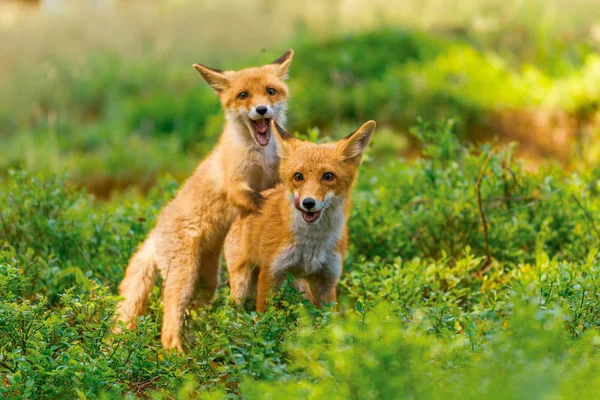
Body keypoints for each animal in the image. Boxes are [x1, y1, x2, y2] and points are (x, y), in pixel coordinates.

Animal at [114, 50, 292, 350]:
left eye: (270, 91)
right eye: (243, 95)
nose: (261, 110)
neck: (261, 157)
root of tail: (155, 231)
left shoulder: (274, 178)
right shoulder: (236, 185)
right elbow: (253, 198)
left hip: (207, 280)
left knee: (195, 310)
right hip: (183, 276)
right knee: (169, 323)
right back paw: (177, 353)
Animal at [225, 120, 376, 310]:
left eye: (328, 176)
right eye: (298, 176)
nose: (308, 203)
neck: (312, 243)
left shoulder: (327, 279)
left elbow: (329, 315)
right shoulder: (271, 273)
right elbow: (264, 314)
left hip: (299, 286)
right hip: (241, 286)